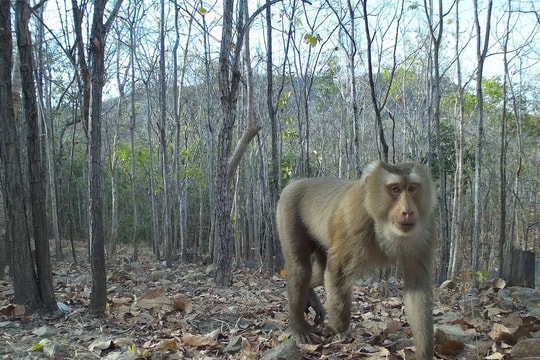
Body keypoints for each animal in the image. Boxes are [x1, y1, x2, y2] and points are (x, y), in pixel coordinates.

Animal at [276, 162, 436, 358]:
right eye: (395, 189)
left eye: (412, 188)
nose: (408, 211)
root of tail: (297, 181)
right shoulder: (354, 218)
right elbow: (337, 272)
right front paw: (337, 327)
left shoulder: (425, 228)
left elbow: (417, 288)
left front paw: (424, 353)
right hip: (288, 209)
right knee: (301, 268)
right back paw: (298, 325)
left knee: (320, 274)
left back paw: (310, 295)